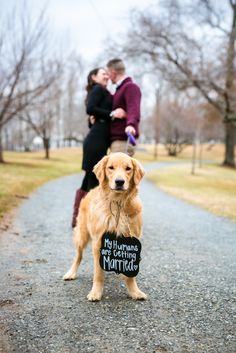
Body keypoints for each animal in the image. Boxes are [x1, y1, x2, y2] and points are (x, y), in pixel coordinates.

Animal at [63, 151, 147, 300]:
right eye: (111, 167)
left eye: (128, 168)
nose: (119, 182)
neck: (118, 202)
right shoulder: (99, 242)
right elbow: (98, 273)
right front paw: (96, 292)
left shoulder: (132, 241)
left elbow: (130, 275)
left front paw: (134, 292)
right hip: (82, 234)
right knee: (78, 256)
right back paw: (71, 273)